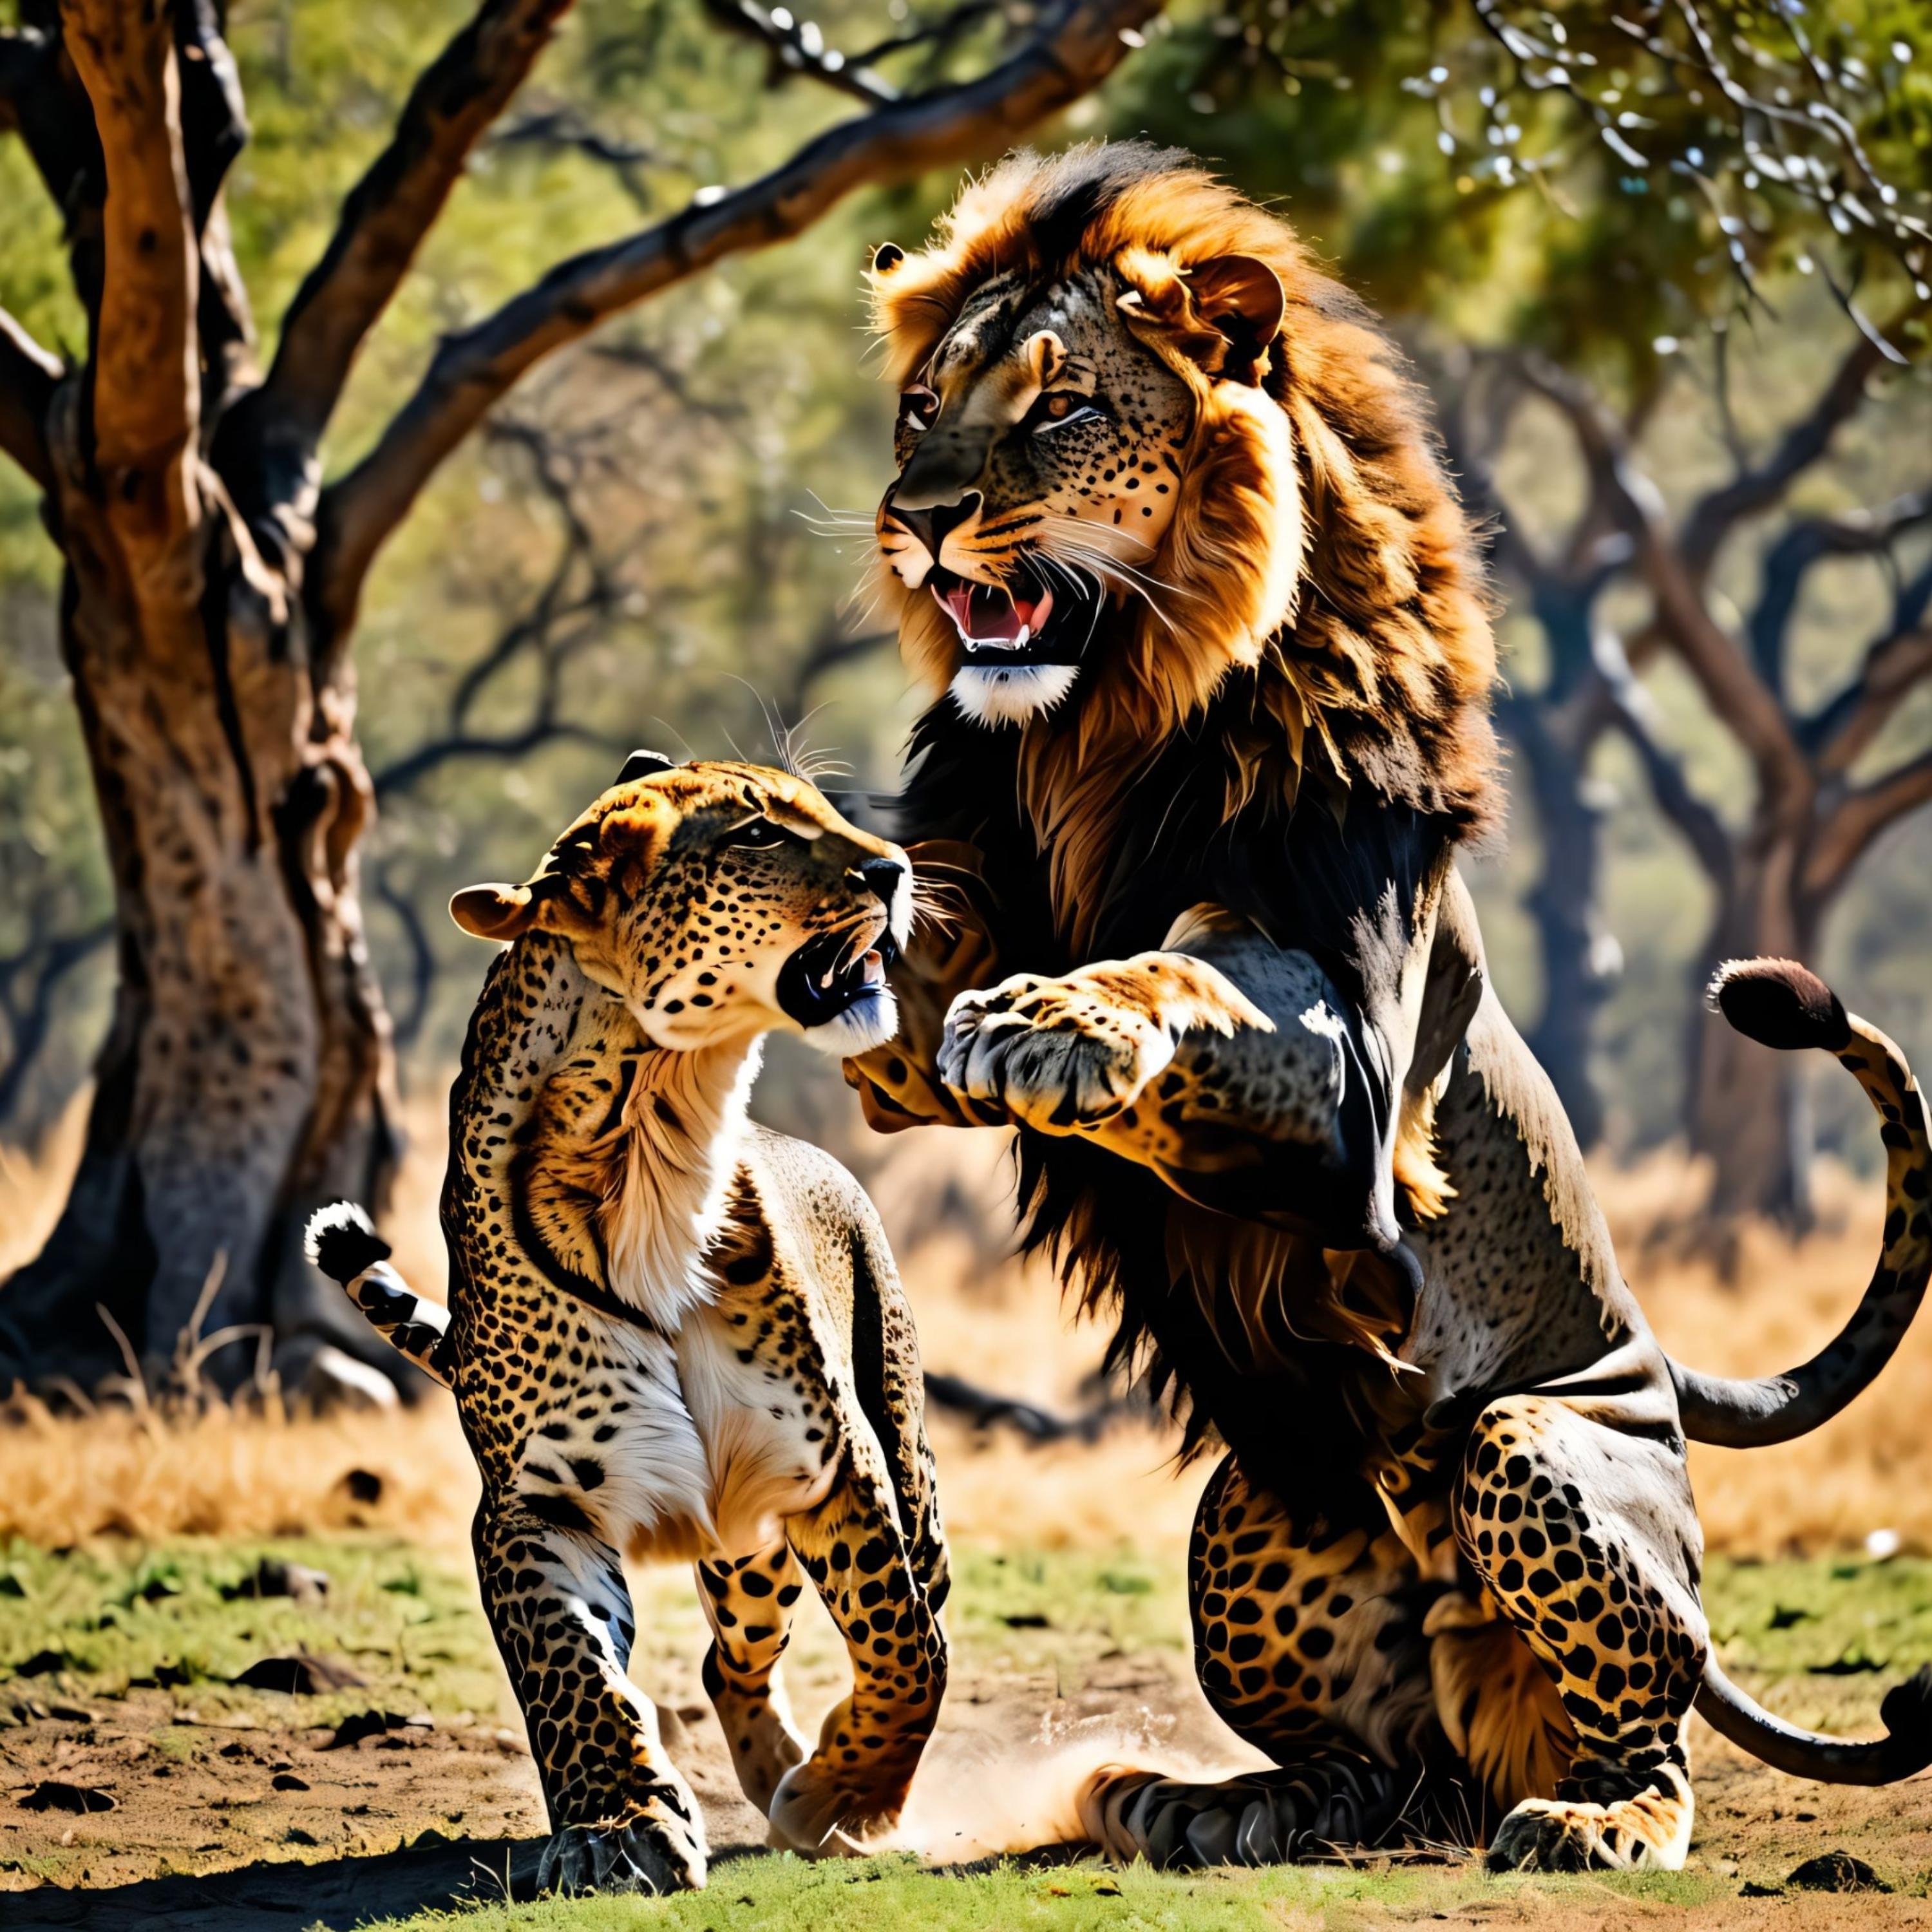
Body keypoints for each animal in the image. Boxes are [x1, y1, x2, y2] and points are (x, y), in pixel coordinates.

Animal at [842, 142, 1932, 1871]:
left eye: (1057, 405)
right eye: (920, 407)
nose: (916, 520)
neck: (1103, 733)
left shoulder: (1348, 1051)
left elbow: (1194, 972)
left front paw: (1062, 1022)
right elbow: (907, 938)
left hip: (1531, 1446)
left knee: (1643, 1734)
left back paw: (1590, 1819)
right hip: (1259, 1500)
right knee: (1391, 1771)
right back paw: (1209, 1803)